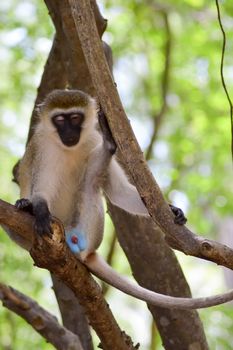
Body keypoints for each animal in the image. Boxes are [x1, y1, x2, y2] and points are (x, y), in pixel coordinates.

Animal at [6, 89, 233, 308]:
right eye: (60, 120)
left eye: (75, 118)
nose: (69, 133)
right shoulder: (42, 148)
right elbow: (41, 191)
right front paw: (39, 211)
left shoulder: (93, 138)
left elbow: (118, 191)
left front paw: (173, 209)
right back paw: (26, 208)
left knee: (92, 182)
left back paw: (108, 147)